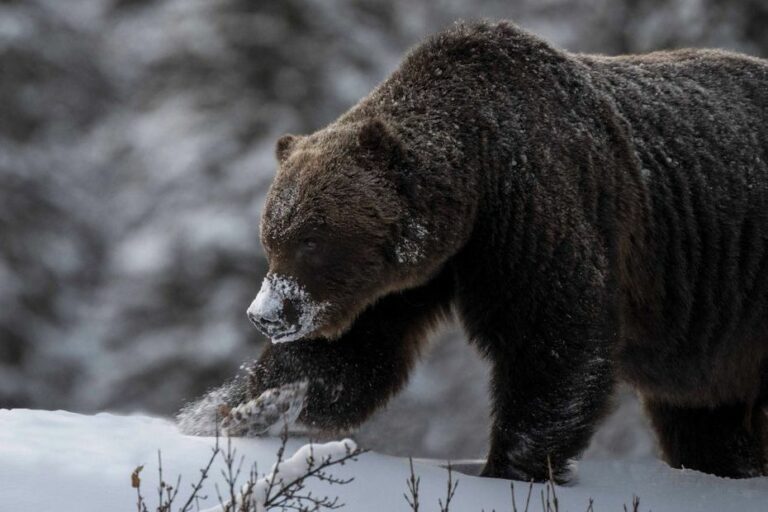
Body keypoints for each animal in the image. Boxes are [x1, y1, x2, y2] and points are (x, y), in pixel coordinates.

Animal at [180, 20, 768, 482]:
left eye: (312, 239)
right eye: (270, 238)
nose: (265, 315)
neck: (478, 186)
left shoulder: (533, 214)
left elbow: (554, 339)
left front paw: (507, 466)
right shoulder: (413, 277)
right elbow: (349, 359)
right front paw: (239, 409)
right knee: (701, 422)